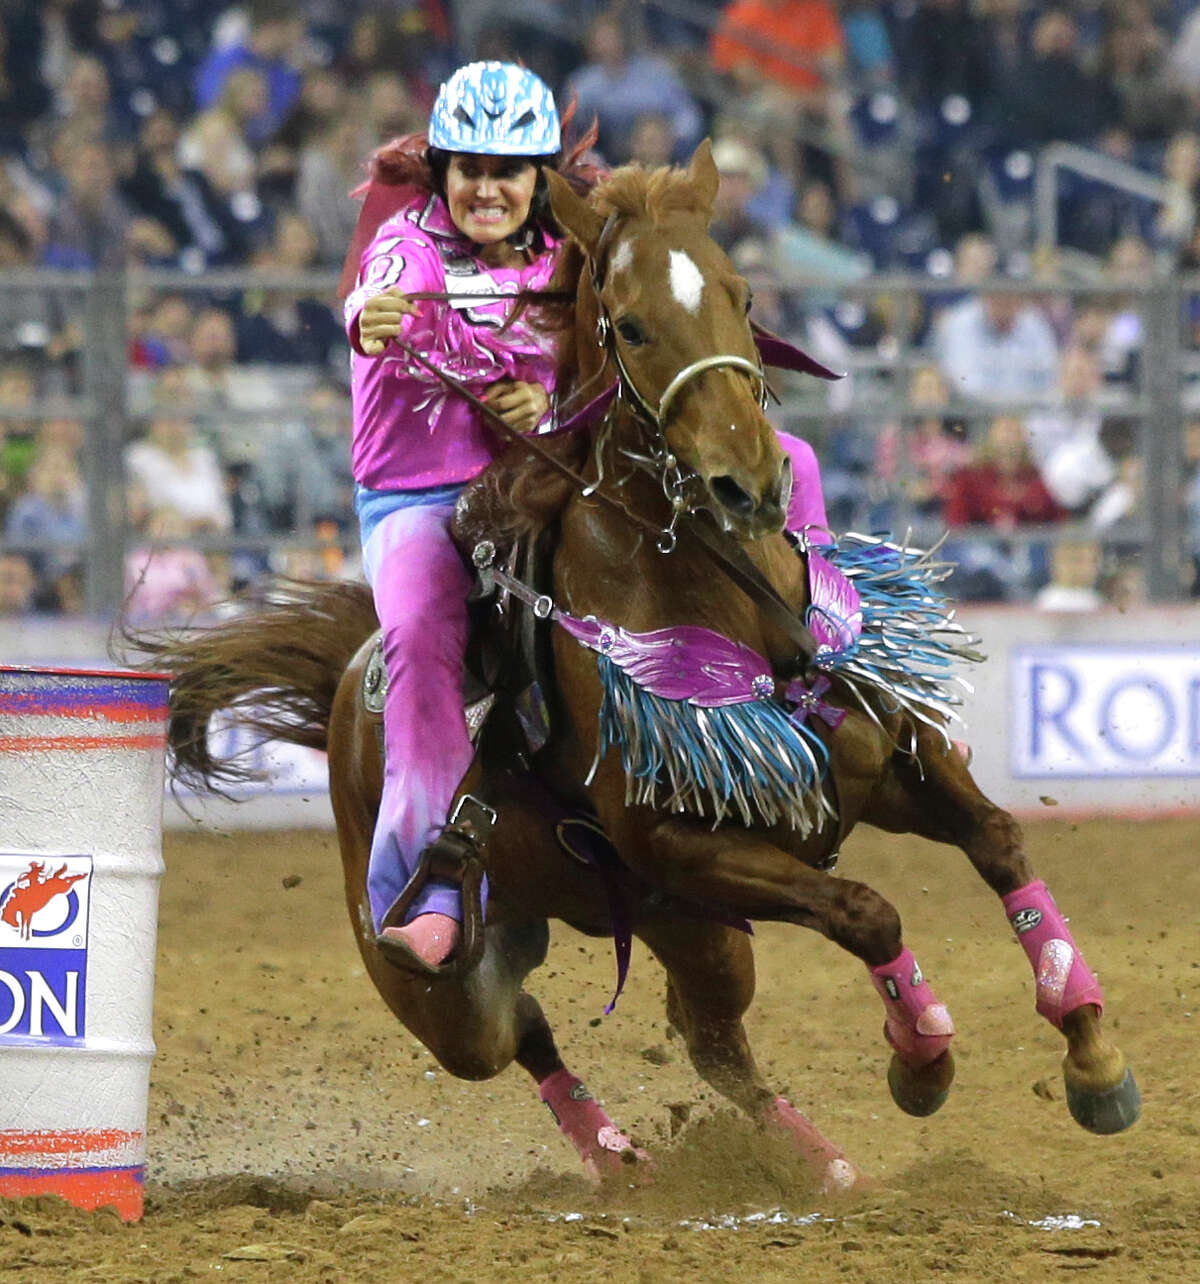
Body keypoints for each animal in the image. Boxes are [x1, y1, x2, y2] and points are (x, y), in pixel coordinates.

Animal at [145, 143, 1139, 1191]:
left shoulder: (880, 763)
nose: (750, 484)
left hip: (684, 928)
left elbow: (997, 843)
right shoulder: (685, 843)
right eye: (629, 323)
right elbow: (868, 911)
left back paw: (814, 1169)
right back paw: (621, 1154)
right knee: (524, 1033)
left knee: (709, 1043)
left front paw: (1092, 1055)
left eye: (744, 296)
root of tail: (348, 685)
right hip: (455, 986)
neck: (724, 593)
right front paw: (922, 1060)